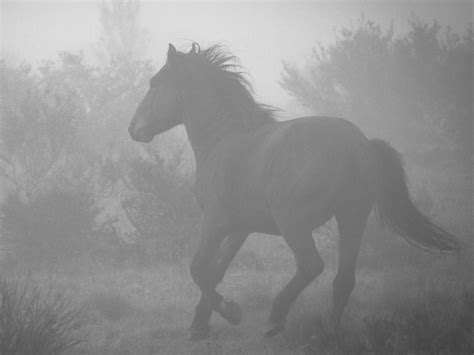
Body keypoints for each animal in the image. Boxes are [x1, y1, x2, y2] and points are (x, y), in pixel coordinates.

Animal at [128, 43, 462, 340]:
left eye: (155, 83)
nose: (133, 128)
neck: (223, 141)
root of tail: (358, 146)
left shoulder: (215, 222)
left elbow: (198, 269)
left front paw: (231, 312)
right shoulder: (239, 228)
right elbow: (215, 271)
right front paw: (199, 326)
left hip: (293, 222)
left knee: (311, 265)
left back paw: (275, 319)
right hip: (352, 217)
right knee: (344, 279)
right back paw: (329, 330)